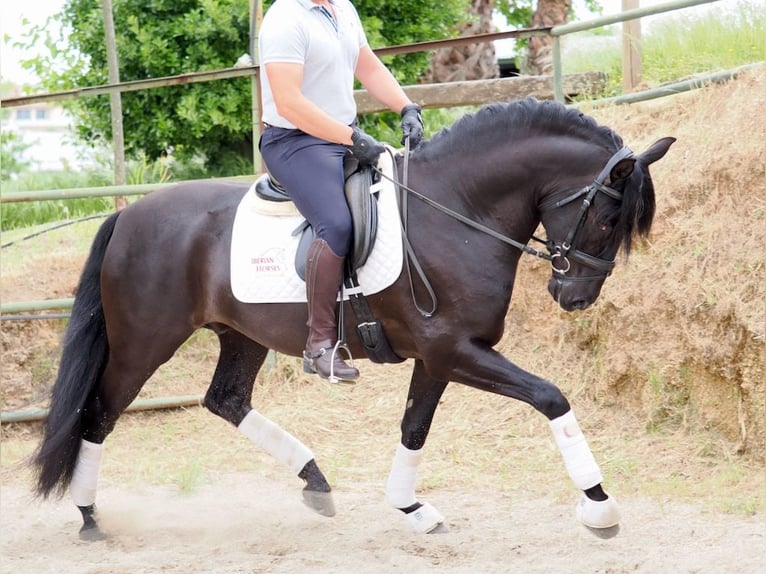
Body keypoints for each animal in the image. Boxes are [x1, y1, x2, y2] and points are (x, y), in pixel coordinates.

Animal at [32, 98, 674, 540]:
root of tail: (128, 214)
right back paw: (88, 515)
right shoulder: (455, 351)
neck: (458, 211)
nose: (575, 298)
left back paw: (315, 481)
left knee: (226, 401)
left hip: (241, 335)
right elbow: (550, 397)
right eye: (608, 219)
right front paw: (600, 507)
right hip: (144, 341)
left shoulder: (441, 356)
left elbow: (414, 428)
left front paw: (412, 509)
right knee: (100, 412)